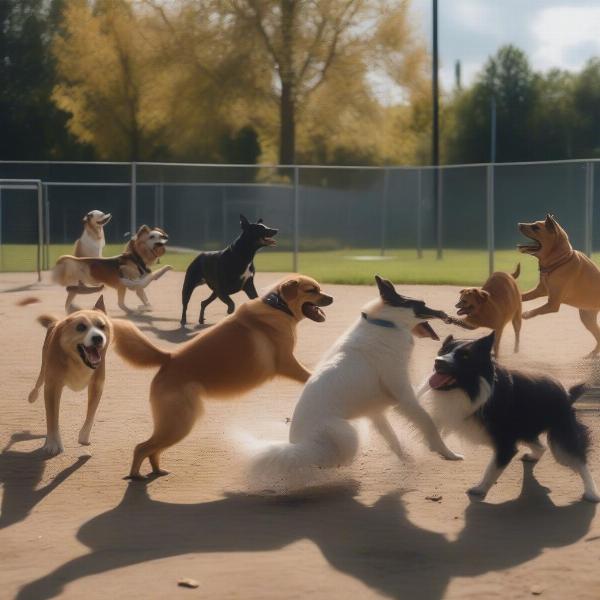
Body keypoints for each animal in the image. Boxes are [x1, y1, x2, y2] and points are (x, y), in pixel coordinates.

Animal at [26, 296, 112, 454]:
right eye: (81, 327)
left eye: (102, 326)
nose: (98, 338)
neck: (77, 361)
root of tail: (57, 321)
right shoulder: (52, 386)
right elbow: (52, 417)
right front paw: (53, 443)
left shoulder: (97, 386)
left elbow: (91, 413)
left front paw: (83, 437)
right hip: (44, 367)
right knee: (38, 383)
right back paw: (32, 396)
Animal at [110, 274, 332, 478]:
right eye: (311, 290)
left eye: (319, 288)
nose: (331, 298)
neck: (278, 306)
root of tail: (168, 358)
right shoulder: (287, 363)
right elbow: (307, 374)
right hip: (178, 424)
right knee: (142, 447)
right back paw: (135, 476)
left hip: (175, 426)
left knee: (152, 450)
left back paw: (157, 471)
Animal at [248, 274, 464, 486]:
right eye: (422, 304)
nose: (444, 313)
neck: (385, 322)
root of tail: (297, 446)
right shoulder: (404, 395)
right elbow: (429, 424)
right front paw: (448, 454)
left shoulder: (376, 413)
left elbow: (393, 439)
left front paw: (407, 462)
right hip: (348, 433)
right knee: (324, 460)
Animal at [418, 330, 600, 504]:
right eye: (443, 351)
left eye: (465, 356)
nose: (438, 361)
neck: (474, 387)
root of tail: (567, 394)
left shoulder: (505, 443)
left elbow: (492, 469)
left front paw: (480, 489)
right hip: (525, 429)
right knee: (541, 446)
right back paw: (533, 456)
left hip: (560, 438)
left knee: (577, 458)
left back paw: (591, 493)